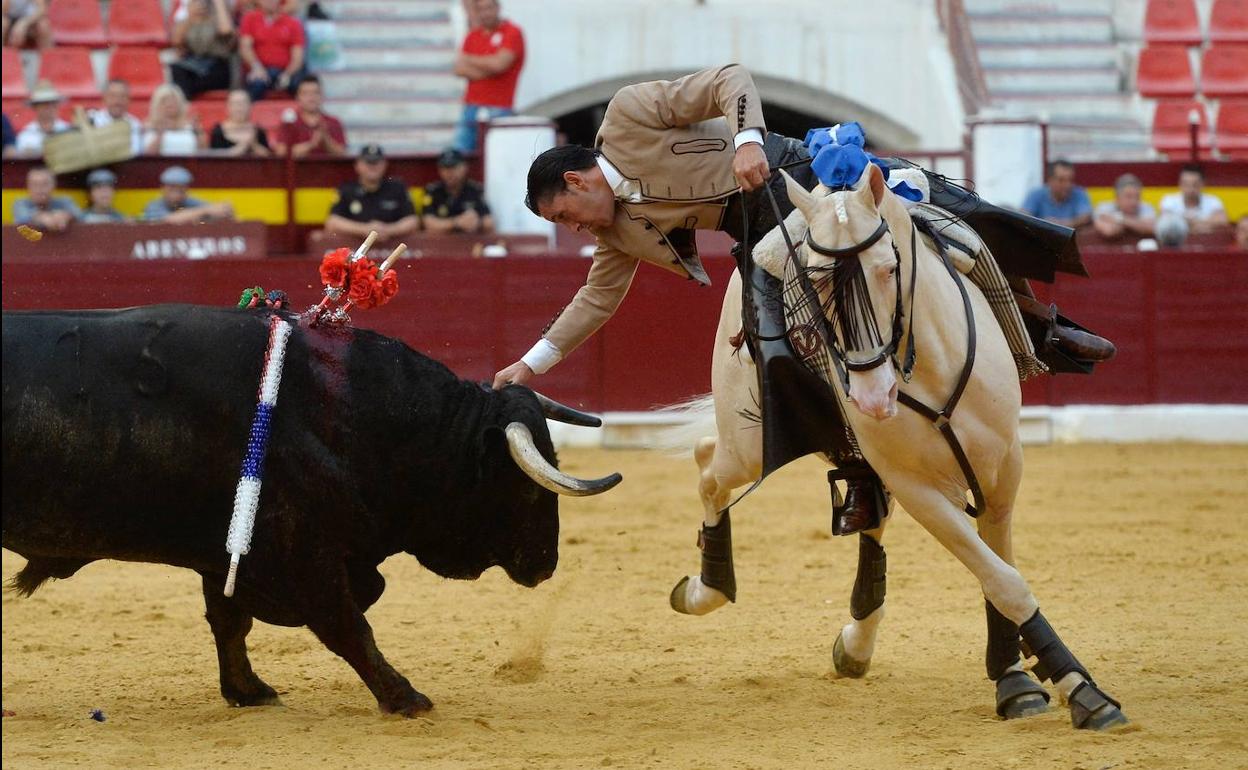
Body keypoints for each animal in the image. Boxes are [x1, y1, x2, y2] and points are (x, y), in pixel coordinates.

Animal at [666, 162, 1128, 731]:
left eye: (889, 268)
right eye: (816, 279)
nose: (871, 397)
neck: (925, 371)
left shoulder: (1003, 468)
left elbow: (997, 570)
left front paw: (1019, 679)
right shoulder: (919, 487)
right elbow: (1002, 580)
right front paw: (1076, 690)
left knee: (865, 514)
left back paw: (856, 643)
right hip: (748, 441)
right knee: (708, 463)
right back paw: (704, 589)